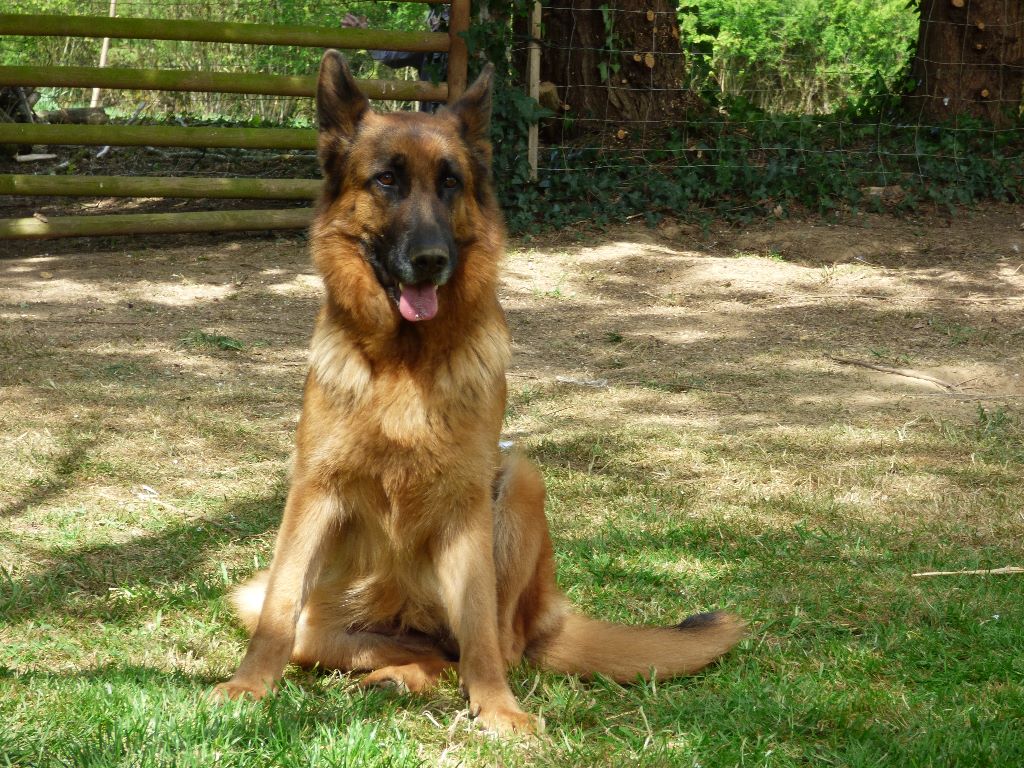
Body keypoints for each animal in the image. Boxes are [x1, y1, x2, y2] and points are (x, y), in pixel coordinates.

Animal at [214, 51, 745, 737]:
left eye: (450, 183)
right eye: (386, 180)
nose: (431, 260)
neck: (404, 364)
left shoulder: (467, 506)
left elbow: (481, 639)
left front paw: (497, 708)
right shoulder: (312, 494)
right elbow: (280, 610)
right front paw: (249, 686)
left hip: (520, 479)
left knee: (489, 642)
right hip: (275, 599)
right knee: (410, 646)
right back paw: (398, 673)